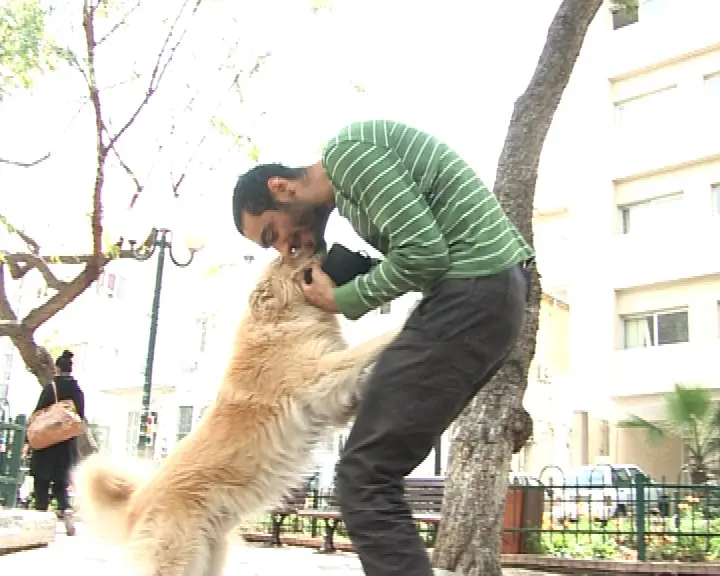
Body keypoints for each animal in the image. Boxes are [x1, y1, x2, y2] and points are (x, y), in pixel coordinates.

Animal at [73, 255, 400, 576]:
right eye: (294, 255)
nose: (319, 245)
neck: (277, 319)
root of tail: (136, 505)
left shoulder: (336, 404)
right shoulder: (320, 378)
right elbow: (368, 346)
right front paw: (399, 326)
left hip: (208, 558)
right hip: (179, 560)